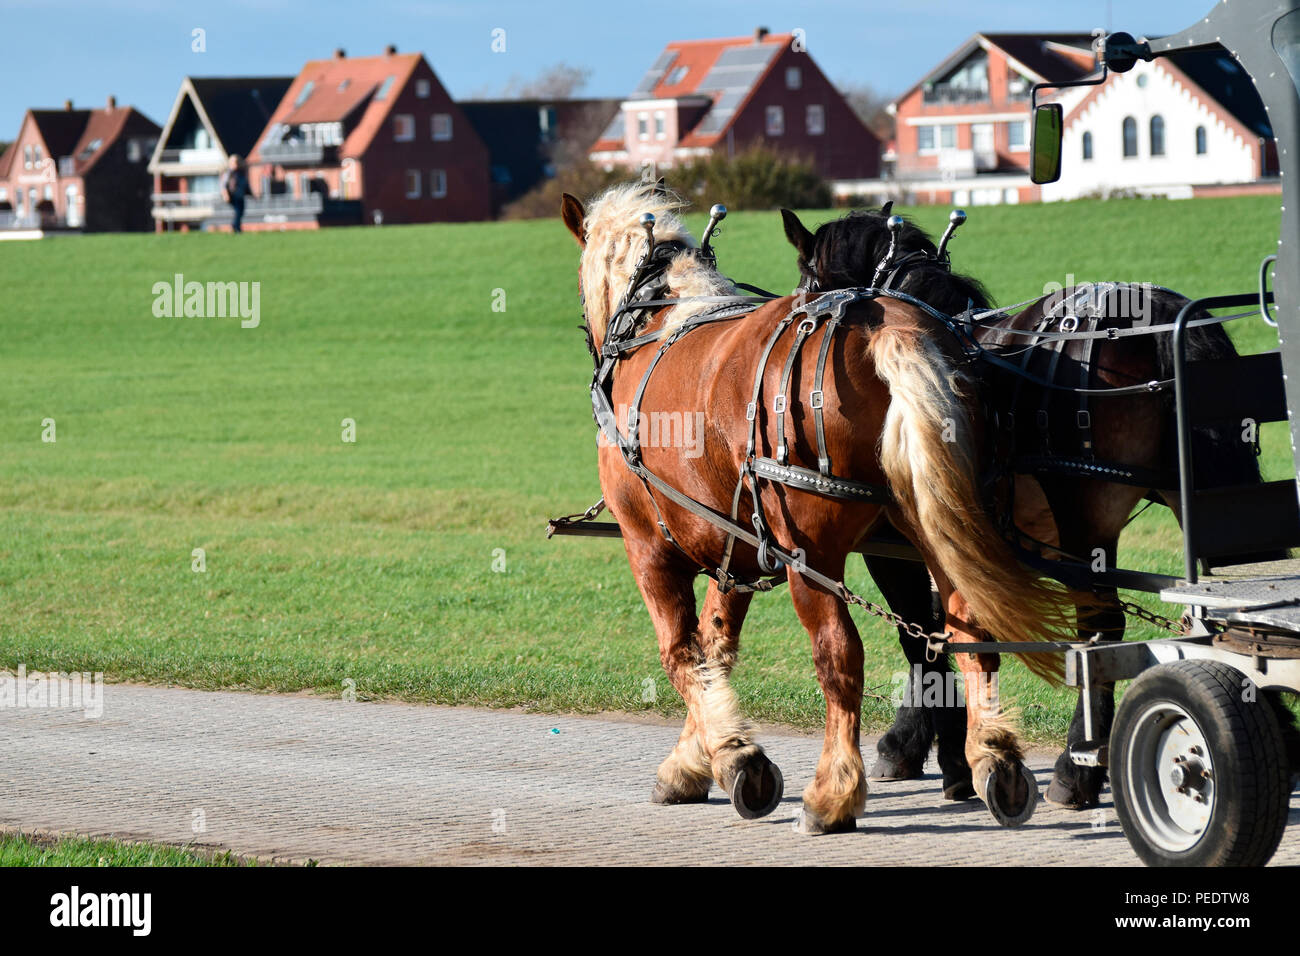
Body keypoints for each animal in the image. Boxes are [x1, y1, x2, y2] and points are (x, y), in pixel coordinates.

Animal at [560, 181, 1082, 833]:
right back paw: (996, 760)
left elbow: (683, 654)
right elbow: (716, 649)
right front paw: (697, 757)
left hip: (813, 552)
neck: (659, 313)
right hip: (934, 529)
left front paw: (737, 759)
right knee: (968, 630)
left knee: (839, 653)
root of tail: (883, 326)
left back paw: (834, 792)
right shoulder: (735, 541)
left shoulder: (649, 546)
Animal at [780, 204, 1279, 808]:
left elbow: (920, 634)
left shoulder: (895, 546)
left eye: (806, 287)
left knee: (1100, 630)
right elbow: (947, 625)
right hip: (1195, 500)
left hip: (1084, 517)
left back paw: (1076, 768)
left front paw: (928, 749)